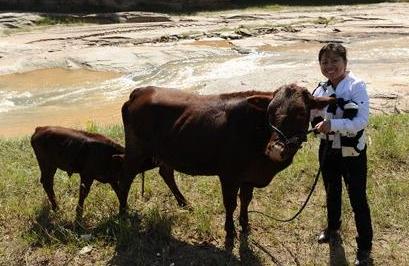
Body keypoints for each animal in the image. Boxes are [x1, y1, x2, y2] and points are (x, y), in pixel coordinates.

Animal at [116, 84, 334, 242]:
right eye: (270, 113)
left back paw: (184, 203)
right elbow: (230, 203)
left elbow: (246, 200)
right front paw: (230, 232)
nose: (276, 149)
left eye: (301, 113)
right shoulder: (229, 175)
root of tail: (141, 91)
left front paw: (245, 225)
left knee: (165, 172)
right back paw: (123, 212)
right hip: (136, 151)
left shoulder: (248, 176)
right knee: (126, 177)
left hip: (165, 152)